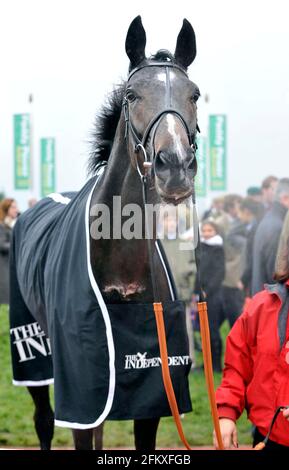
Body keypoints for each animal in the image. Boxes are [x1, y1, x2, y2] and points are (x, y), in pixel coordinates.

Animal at [9, 14, 198, 450]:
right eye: (131, 95)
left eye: (195, 95)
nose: (175, 166)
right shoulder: (82, 382)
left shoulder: (150, 386)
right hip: (33, 350)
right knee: (43, 418)